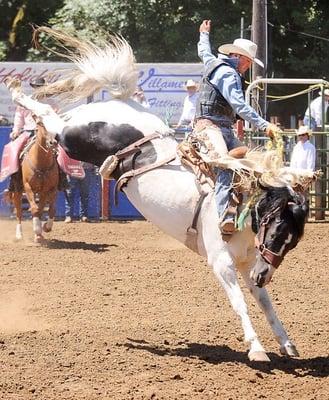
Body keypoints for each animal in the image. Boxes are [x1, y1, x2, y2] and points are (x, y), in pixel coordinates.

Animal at [5, 25, 312, 362]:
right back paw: (16, 88)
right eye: (278, 229)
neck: (242, 204)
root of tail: (121, 102)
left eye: (293, 241)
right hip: (73, 138)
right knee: (49, 114)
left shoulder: (249, 264)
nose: (264, 275)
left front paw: (287, 343)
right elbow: (240, 303)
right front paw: (256, 348)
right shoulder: (222, 262)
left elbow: (266, 304)